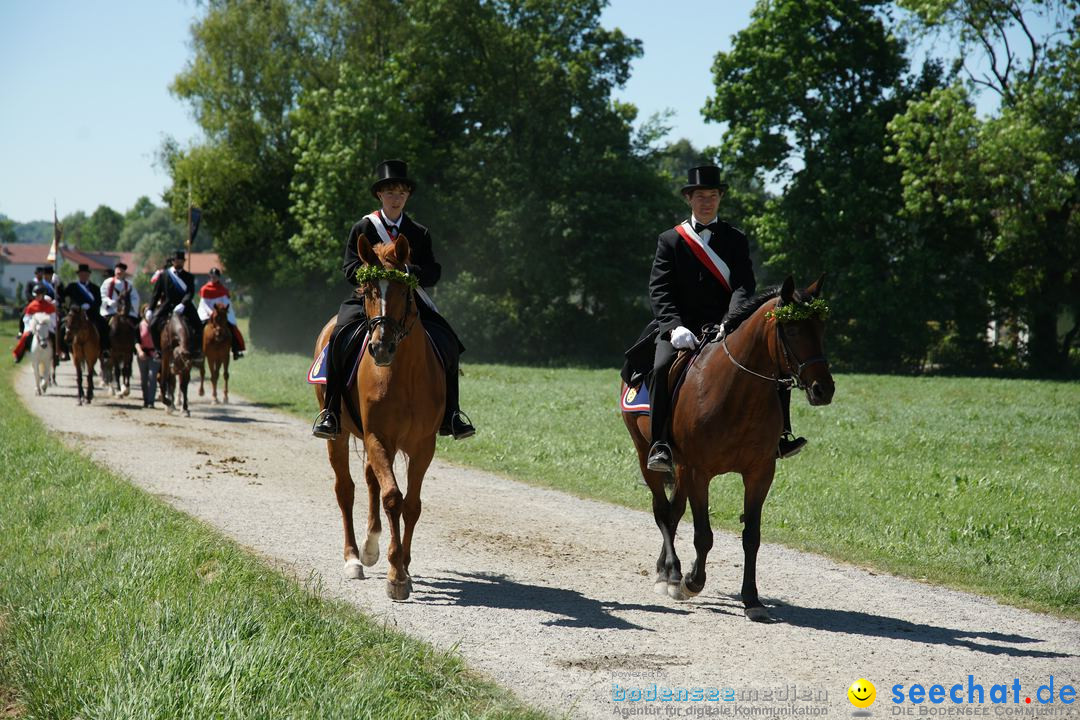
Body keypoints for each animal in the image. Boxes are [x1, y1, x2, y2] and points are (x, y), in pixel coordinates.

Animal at [315, 232, 444, 604]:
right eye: (368, 289)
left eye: (403, 289)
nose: (381, 348)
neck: (405, 374)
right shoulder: (377, 437)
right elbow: (392, 498)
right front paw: (396, 575)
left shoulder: (422, 446)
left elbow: (411, 504)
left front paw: (404, 565)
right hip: (340, 436)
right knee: (346, 489)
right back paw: (354, 558)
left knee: (371, 480)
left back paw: (371, 547)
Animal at [626, 276, 833, 626]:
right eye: (791, 329)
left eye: (821, 327)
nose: (824, 389)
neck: (737, 391)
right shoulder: (699, 472)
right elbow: (703, 535)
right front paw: (691, 582)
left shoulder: (759, 473)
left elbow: (751, 536)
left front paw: (752, 599)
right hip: (648, 456)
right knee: (662, 512)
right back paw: (671, 575)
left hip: (681, 468)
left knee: (674, 512)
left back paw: (666, 570)